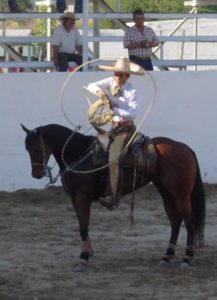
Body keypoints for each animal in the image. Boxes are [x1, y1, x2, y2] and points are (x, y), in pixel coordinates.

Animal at [21, 123, 205, 268]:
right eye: (27, 148)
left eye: (37, 147)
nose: (37, 174)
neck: (77, 153)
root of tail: (186, 148)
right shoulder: (74, 198)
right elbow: (82, 225)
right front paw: (88, 252)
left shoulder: (82, 197)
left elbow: (83, 226)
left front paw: (84, 258)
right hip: (166, 194)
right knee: (175, 222)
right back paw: (166, 256)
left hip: (181, 195)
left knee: (189, 222)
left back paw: (187, 258)